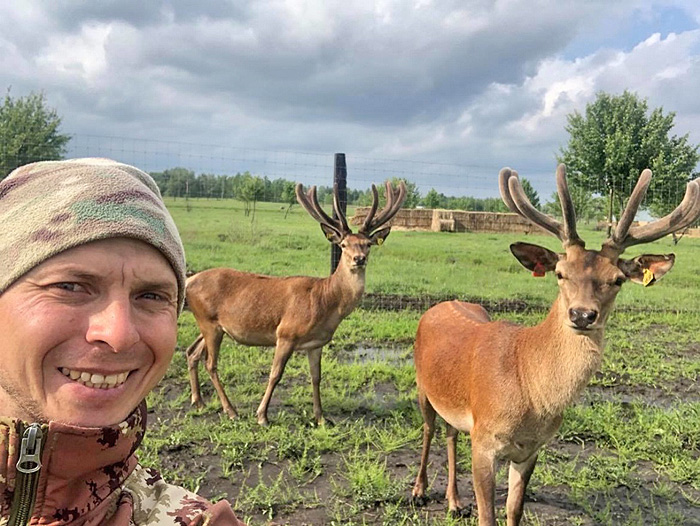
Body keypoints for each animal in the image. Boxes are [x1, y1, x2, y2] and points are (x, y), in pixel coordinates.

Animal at [183, 179, 408, 426]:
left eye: (368, 243)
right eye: (343, 245)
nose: (359, 259)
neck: (327, 303)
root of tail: (189, 280)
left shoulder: (317, 343)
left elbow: (316, 377)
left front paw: (321, 418)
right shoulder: (286, 334)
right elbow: (275, 374)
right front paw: (262, 415)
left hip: (211, 324)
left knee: (192, 352)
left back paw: (198, 401)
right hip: (209, 323)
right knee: (210, 363)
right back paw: (230, 410)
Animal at [410, 164, 700, 524]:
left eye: (617, 279)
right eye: (560, 273)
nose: (582, 314)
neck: (529, 392)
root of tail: (442, 304)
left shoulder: (531, 449)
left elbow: (514, 510)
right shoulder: (484, 440)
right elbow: (488, 515)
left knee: (450, 433)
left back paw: (454, 502)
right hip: (422, 386)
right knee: (428, 429)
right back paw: (419, 492)